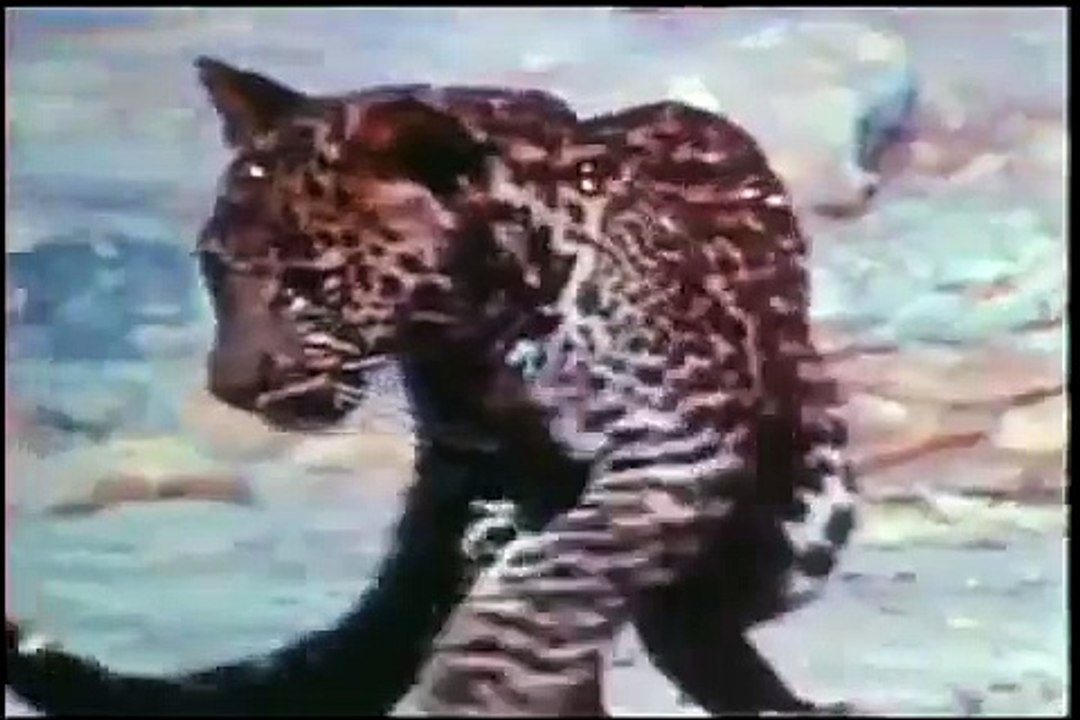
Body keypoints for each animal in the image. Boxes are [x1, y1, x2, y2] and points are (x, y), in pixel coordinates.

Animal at [6, 57, 858, 716]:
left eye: (309, 283)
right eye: (215, 268)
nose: (230, 388)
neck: (478, 326)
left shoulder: (669, 442)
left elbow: (556, 574)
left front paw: (470, 685)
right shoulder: (476, 472)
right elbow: (533, 575)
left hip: (809, 516)